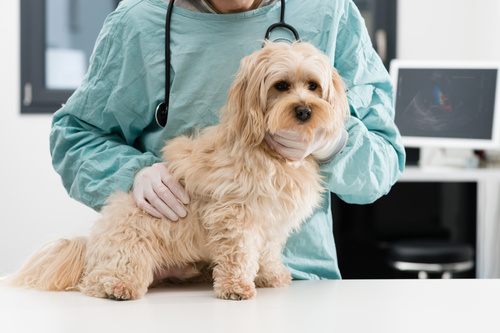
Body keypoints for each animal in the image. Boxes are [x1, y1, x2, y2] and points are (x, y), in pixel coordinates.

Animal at [7, 40, 348, 300]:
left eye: (313, 86)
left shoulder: (271, 223)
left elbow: (266, 253)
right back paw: (116, 286)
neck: (270, 152)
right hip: (131, 245)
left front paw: (271, 275)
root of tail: (89, 245)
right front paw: (236, 287)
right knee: (95, 281)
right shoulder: (234, 216)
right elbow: (239, 255)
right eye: (281, 86)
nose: (304, 110)